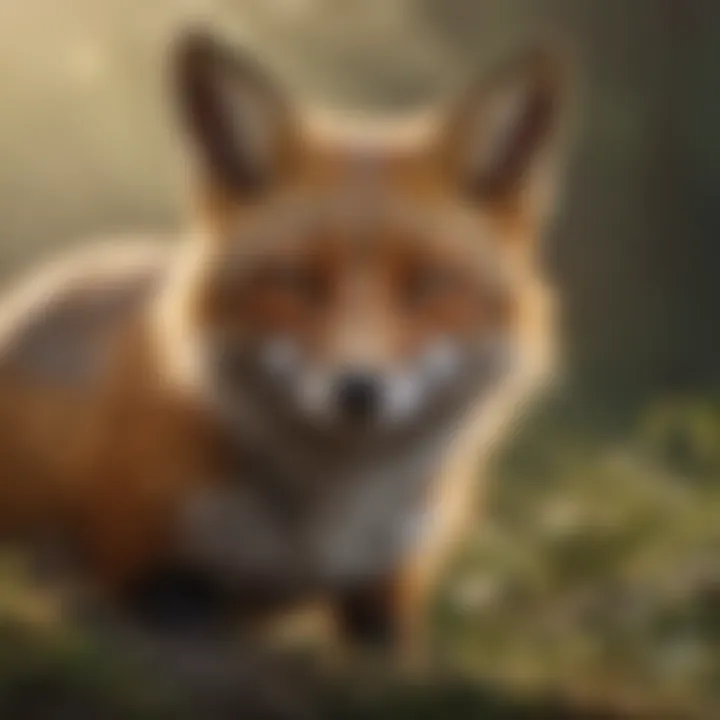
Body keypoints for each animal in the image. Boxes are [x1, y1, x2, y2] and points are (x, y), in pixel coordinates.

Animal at [0, 30, 574, 659]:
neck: (313, 540)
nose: (358, 390)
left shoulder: (389, 590)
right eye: (296, 281)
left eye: (427, 284)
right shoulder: (148, 574)